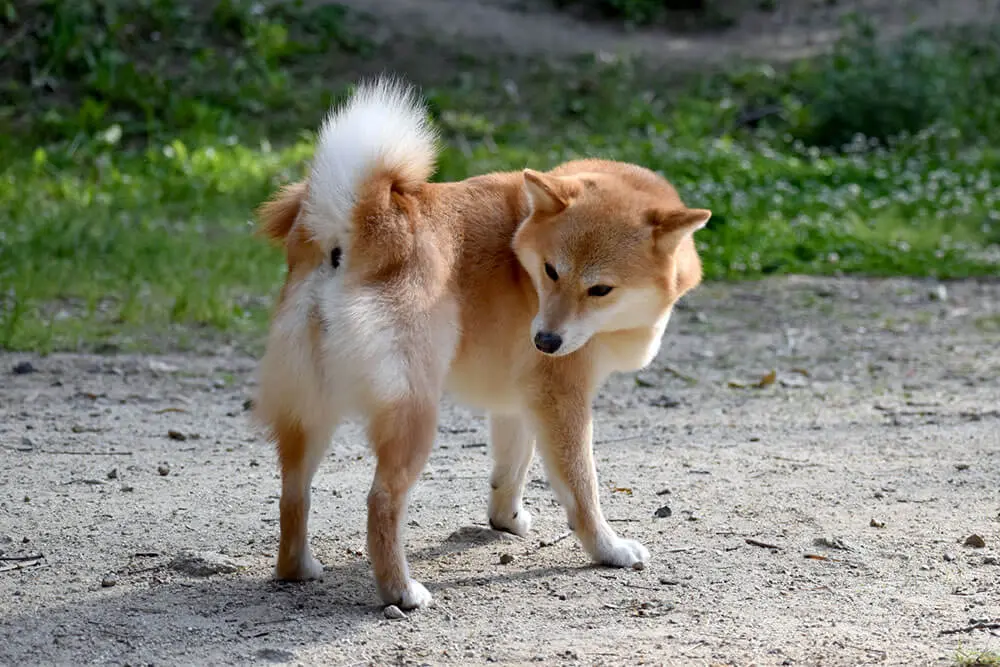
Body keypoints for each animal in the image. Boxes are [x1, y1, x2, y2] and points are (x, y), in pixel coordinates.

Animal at [254, 77, 712, 612]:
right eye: (551, 272)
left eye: (600, 289)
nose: (545, 340)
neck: (521, 244)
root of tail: (361, 224)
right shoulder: (563, 400)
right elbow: (582, 489)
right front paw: (608, 548)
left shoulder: (521, 401)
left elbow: (511, 469)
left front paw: (505, 521)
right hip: (413, 417)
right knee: (381, 503)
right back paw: (401, 590)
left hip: (310, 411)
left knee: (293, 494)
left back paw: (297, 568)